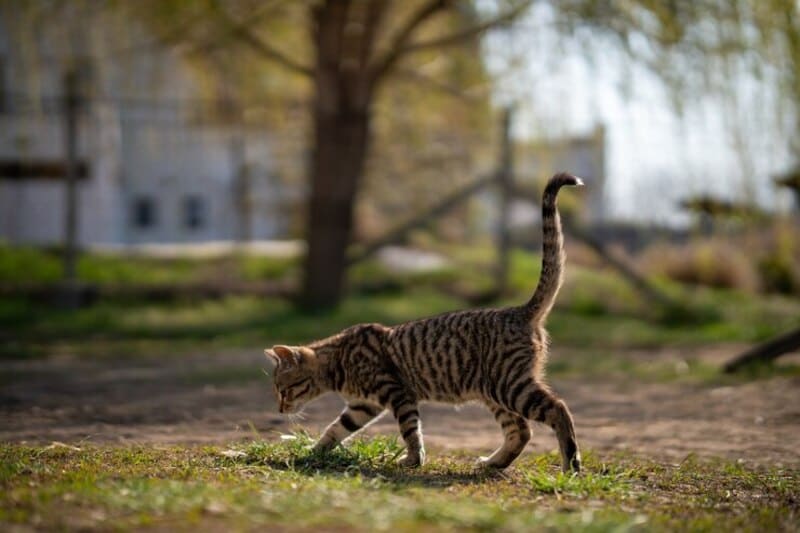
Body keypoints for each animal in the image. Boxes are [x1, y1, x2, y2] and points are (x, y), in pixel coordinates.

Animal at [266, 171, 584, 470]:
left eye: (283, 389)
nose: (280, 409)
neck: (339, 361)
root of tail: (520, 309)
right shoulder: (362, 406)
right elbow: (334, 430)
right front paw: (312, 452)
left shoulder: (398, 393)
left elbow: (410, 431)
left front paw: (412, 460)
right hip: (495, 393)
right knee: (521, 431)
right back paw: (493, 463)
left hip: (509, 386)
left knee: (558, 409)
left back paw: (571, 463)